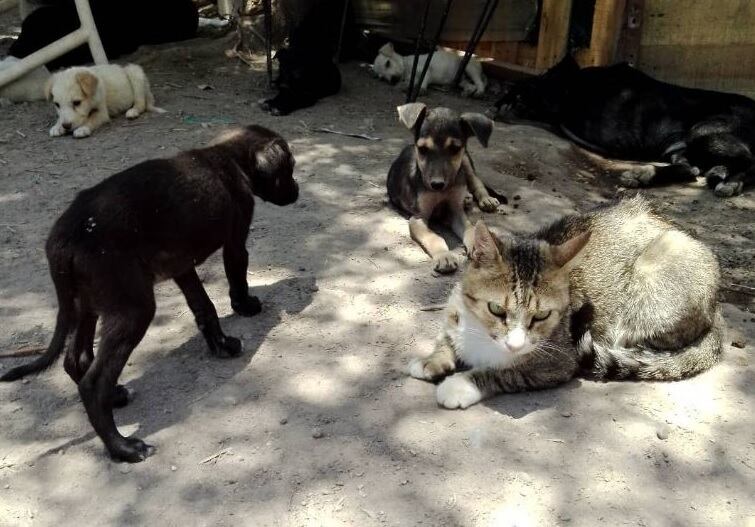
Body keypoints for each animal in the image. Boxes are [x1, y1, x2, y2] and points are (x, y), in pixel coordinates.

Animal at [0, 126, 302, 464]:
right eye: (289, 167)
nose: (298, 191)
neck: (230, 157)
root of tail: (64, 238)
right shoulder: (235, 241)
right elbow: (236, 278)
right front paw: (246, 306)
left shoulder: (181, 267)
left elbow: (204, 307)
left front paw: (220, 345)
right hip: (134, 309)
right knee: (92, 384)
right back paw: (124, 448)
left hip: (86, 305)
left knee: (76, 360)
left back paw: (117, 396)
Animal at [390, 104, 502, 276]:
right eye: (422, 149)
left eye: (455, 148)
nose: (437, 184)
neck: (442, 192)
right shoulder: (418, 217)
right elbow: (435, 237)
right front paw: (444, 256)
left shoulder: (456, 212)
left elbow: (470, 228)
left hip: (466, 162)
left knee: (476, 182)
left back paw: (485, 199)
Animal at [410, 196, 724, 410]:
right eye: (496, 309)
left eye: (541, 316)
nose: (514, 344)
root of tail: (717, 307)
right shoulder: (454, 312)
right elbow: (446, 339)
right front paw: (432, 360)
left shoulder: (558, 361)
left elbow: (505, 372)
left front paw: (462, 384)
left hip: (660, 267)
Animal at [496, 56, 755, 198]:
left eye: (521, 93)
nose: (498, 103)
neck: (575, 86)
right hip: (685, 147)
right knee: (691, 169)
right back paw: (646, 175)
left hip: (705, 131)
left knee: (748, 161)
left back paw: (729, 181)